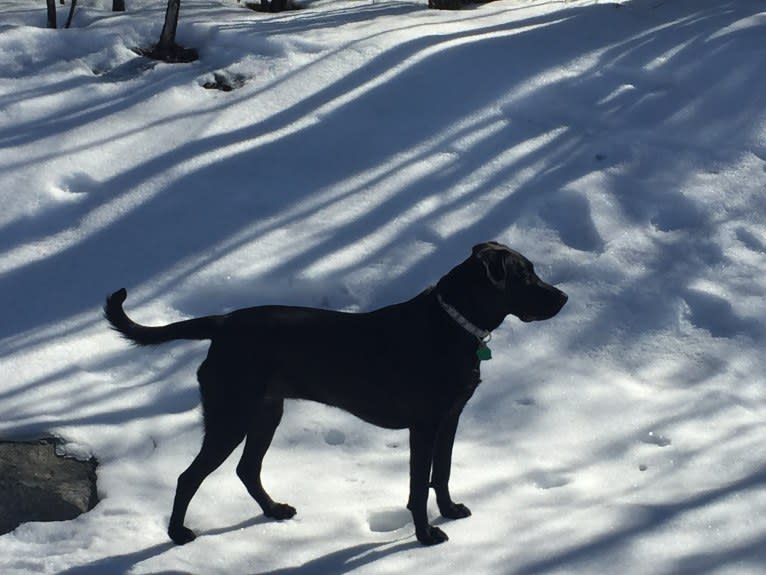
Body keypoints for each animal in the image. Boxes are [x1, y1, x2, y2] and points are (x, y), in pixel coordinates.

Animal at [105, 241, 568, 548]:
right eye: (524, 275)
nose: (564, 297)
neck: (451, 325)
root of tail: (223, 323)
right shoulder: (424, 425)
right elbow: (419, 486)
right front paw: (425, 534)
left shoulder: (450, 418)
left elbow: (443, 473)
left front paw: (451, 511)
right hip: (231, 416)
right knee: (189, 476)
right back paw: (177, 533)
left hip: (266, 412)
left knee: (247, 469)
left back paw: (273, 511)